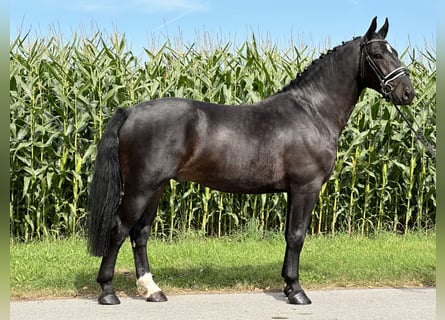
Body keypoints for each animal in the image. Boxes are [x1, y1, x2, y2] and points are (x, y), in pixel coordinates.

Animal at [86, 16, 412, 304]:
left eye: (395, 52)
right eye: (377, 54)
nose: (407, 92)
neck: (311, 112)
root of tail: (130, 112)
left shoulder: (293, 190)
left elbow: (289, 236)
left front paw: (288, 286)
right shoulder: (306, 187)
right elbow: (297, 236)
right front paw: (297, 292)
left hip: (156, 187)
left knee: (140, 233)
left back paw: (152, 290)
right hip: (141, 187)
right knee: (119, 229)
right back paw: (108, 292)